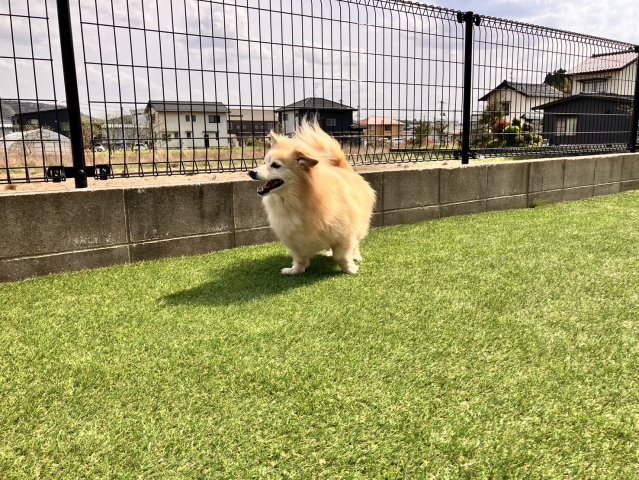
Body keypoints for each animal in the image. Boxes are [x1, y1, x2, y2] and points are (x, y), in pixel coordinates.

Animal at [248, 120, 376, 275]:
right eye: (264, 162)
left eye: (275, 165)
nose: (251, 172)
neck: (295, 199)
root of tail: (342, 166)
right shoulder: (294, 239)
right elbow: (299, 258)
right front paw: (295, 270)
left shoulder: (344, 234)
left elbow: (342, 255)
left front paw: (350, 269)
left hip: (359, 223)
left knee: (356, 243)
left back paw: (355, 256)